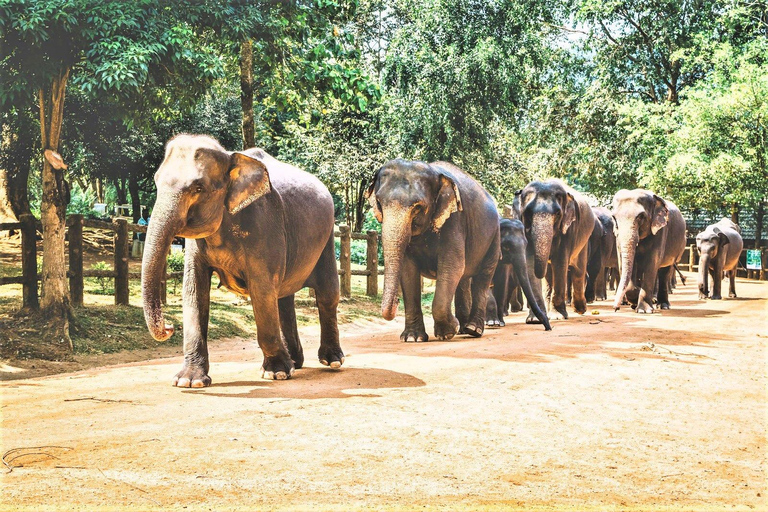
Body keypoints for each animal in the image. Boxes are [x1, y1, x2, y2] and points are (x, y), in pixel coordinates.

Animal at [142, 134, 344, 386]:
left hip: (327, 236)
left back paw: (330, 361)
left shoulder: (264, 224)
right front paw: (189, 381)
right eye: (156, 181)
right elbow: (194, 291)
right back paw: (295, 363)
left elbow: (261, 288)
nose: (170, 327)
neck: (230, 156)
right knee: (283, 298)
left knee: (326, 293)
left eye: (198, 188)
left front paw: (276, 372)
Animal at [368, 158, 504, 342]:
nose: (396, 301)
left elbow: (451, 266)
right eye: (379, 203)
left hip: (494, 236)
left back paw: (473, 329)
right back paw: (463, 329)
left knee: (482, 278)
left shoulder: (454, 220)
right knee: (463, 279)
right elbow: (408, 270)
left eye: (417, 207)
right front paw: (412, 338)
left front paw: (448, 332)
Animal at [520, 180, 596, 320]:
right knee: (550, 275)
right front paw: (535, 319)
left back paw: (580, 309)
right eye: (527, 213)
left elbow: (560, 263)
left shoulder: (569, 230)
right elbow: (531, 264)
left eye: (558, 214)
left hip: (584, 241)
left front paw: (557, 317)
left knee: (579, 271)